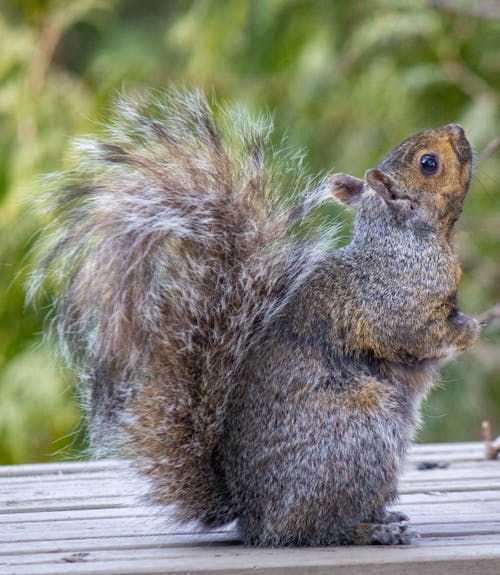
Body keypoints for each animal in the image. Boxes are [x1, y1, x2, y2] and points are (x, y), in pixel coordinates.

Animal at [31, 88, 476, 548]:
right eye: (428, 163)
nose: (458, 129)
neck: (403, 239)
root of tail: (253, 516)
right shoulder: (395, 302)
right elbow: (415, 335)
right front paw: (469, 331)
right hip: (359, 437)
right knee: (314, 529)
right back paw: (370, 530)